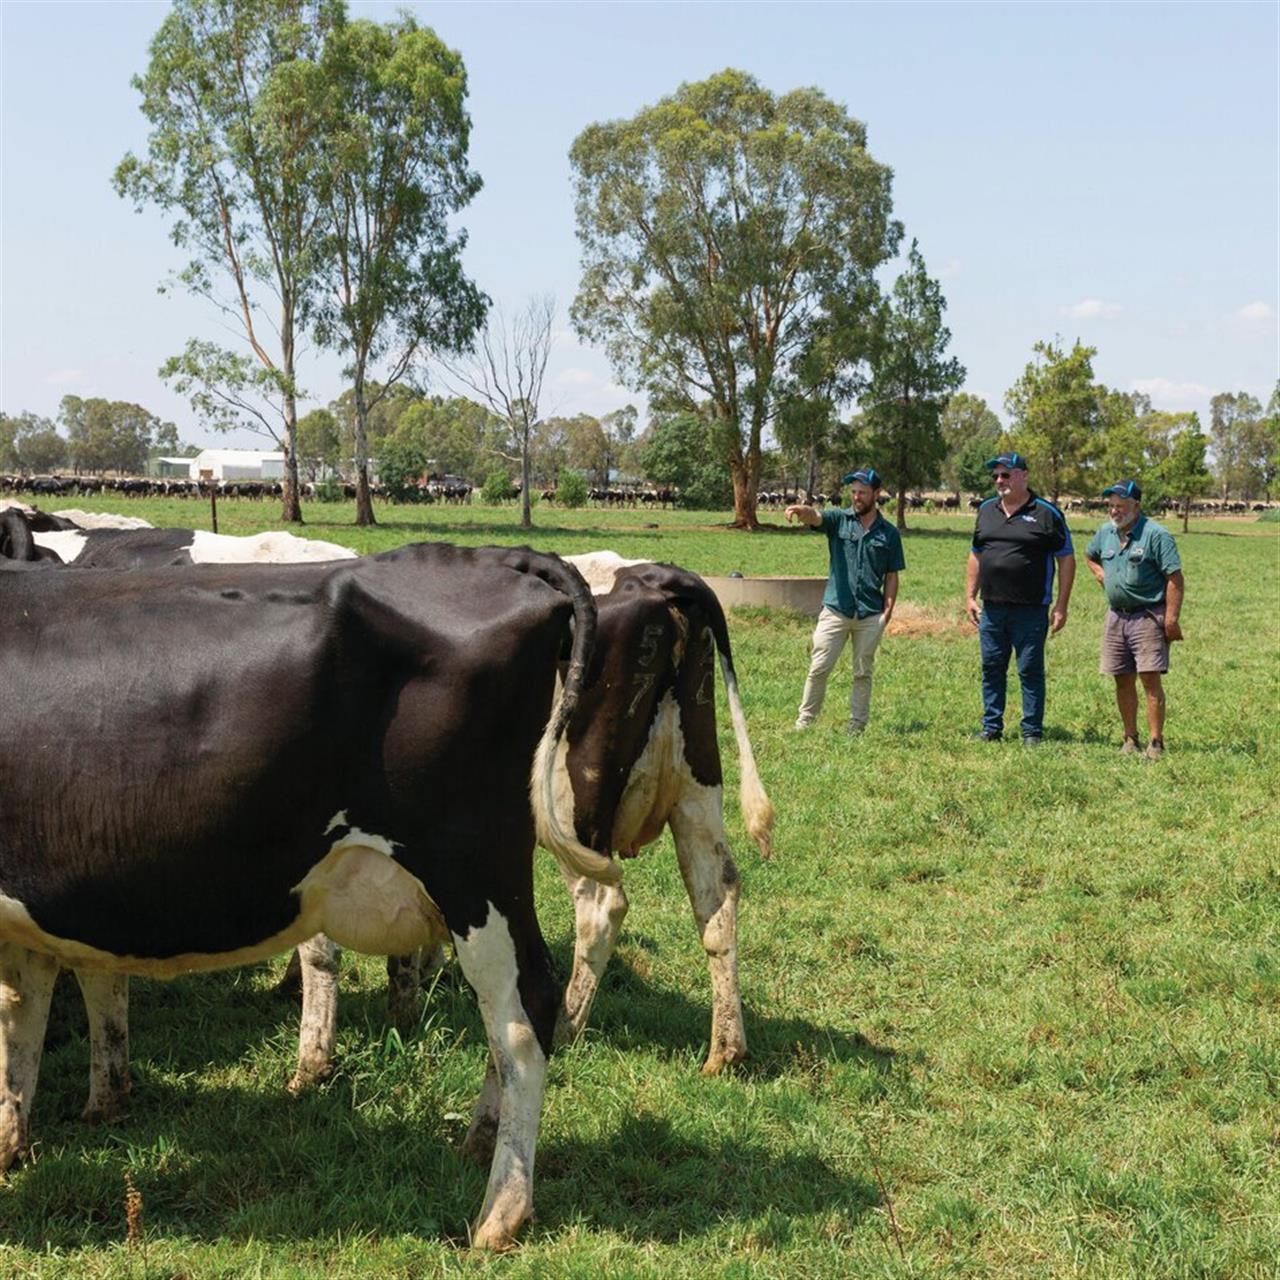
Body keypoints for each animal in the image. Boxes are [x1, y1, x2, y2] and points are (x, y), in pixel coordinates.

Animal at [0, 542, 613, 1249]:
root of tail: (495, 557)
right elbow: (22, 1030)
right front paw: (12, 1146)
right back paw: (480, 1143)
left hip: (475, 867)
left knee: (523, 1012)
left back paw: (500, 1212)